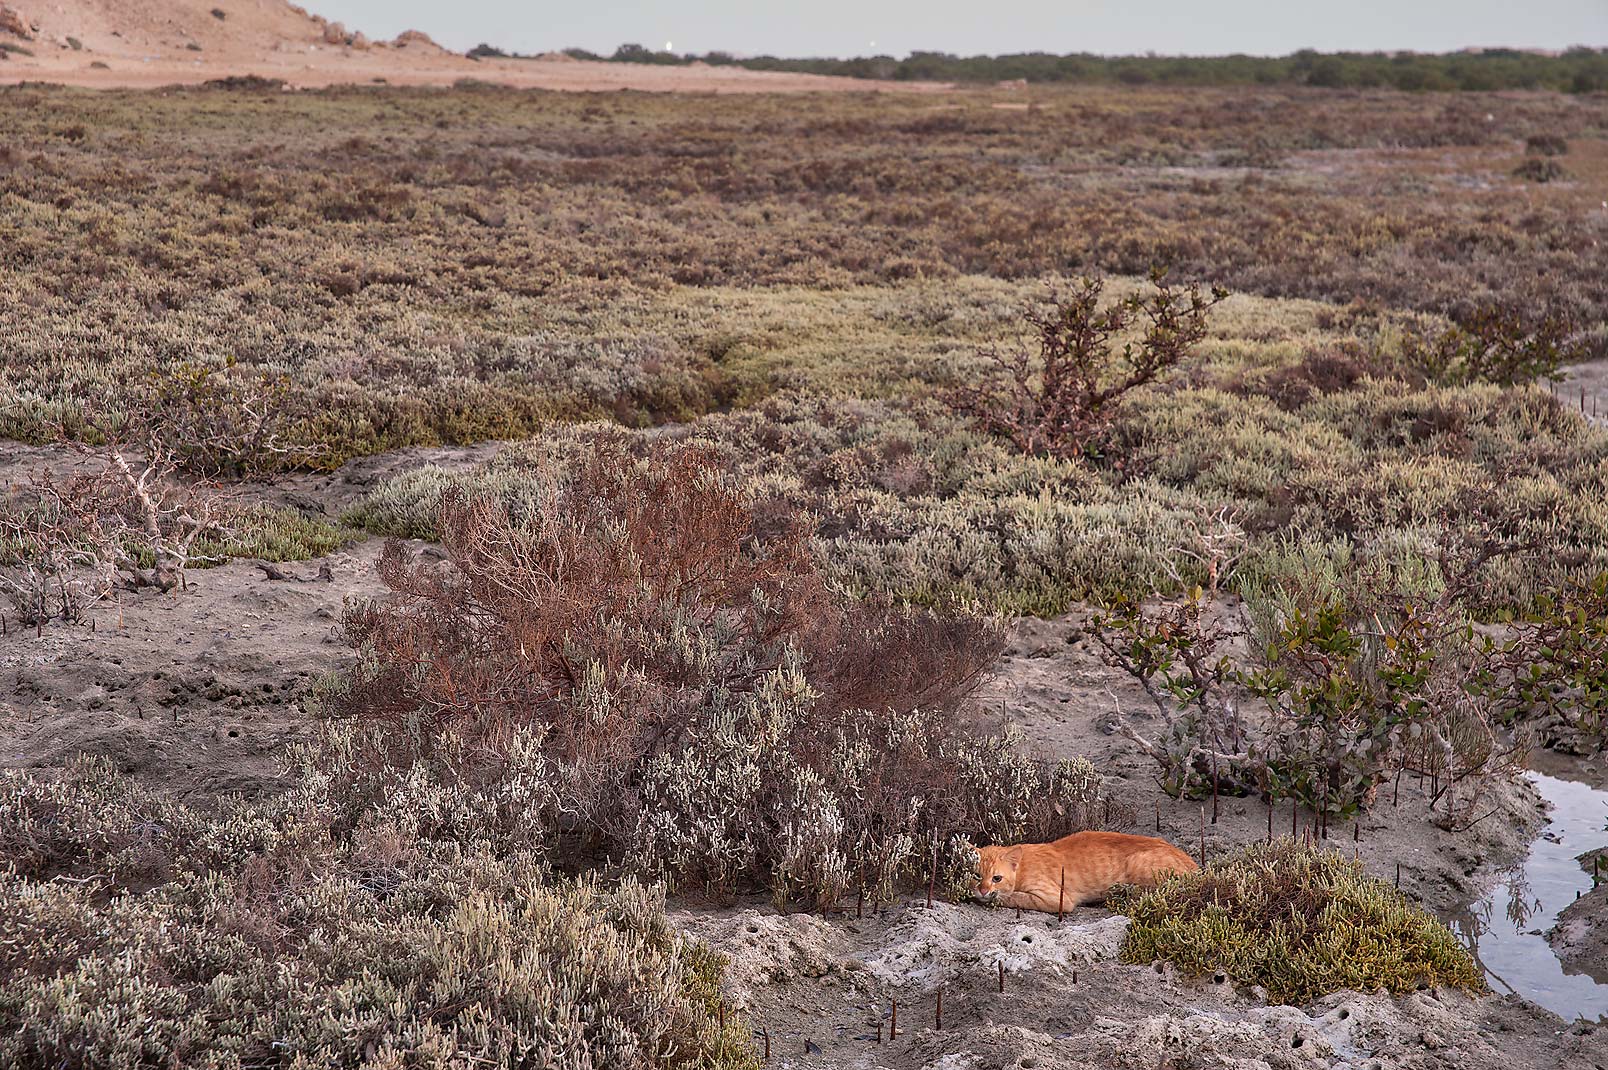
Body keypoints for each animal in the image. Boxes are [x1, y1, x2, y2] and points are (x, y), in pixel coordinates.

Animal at [964, 823, 1196, 907]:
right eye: (976, 876)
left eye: (996, 878)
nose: (983, 890)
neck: (1022, 867)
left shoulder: (1056, 899)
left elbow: (1013, 896)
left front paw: (994, 898)